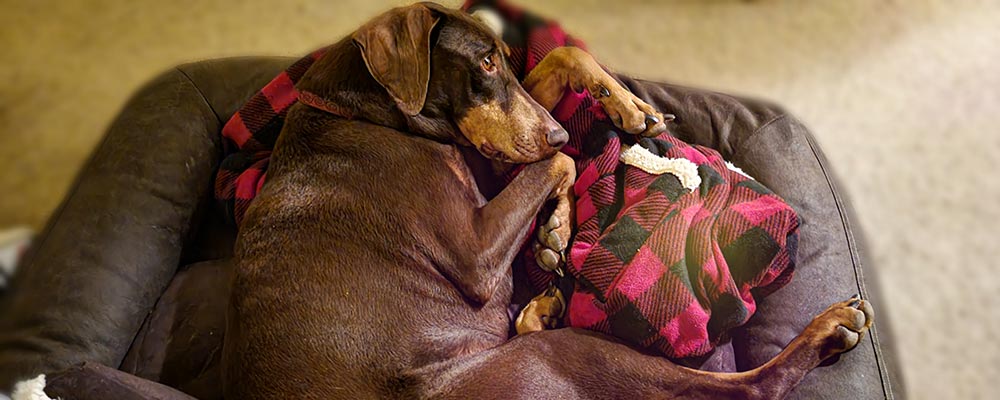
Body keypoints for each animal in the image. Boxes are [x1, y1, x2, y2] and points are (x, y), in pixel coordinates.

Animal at [225, 3, 876, 400]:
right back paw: (828, 330)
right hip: (565, 358)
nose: (564, 132)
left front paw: (625, 111)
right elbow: (555, 164)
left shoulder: (494, 155)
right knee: (740, 387)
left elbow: (561, 70)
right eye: (484, 62)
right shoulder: (473, 250)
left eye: (504, 58)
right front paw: (559, 220)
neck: (362, 111)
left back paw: (543, 304)